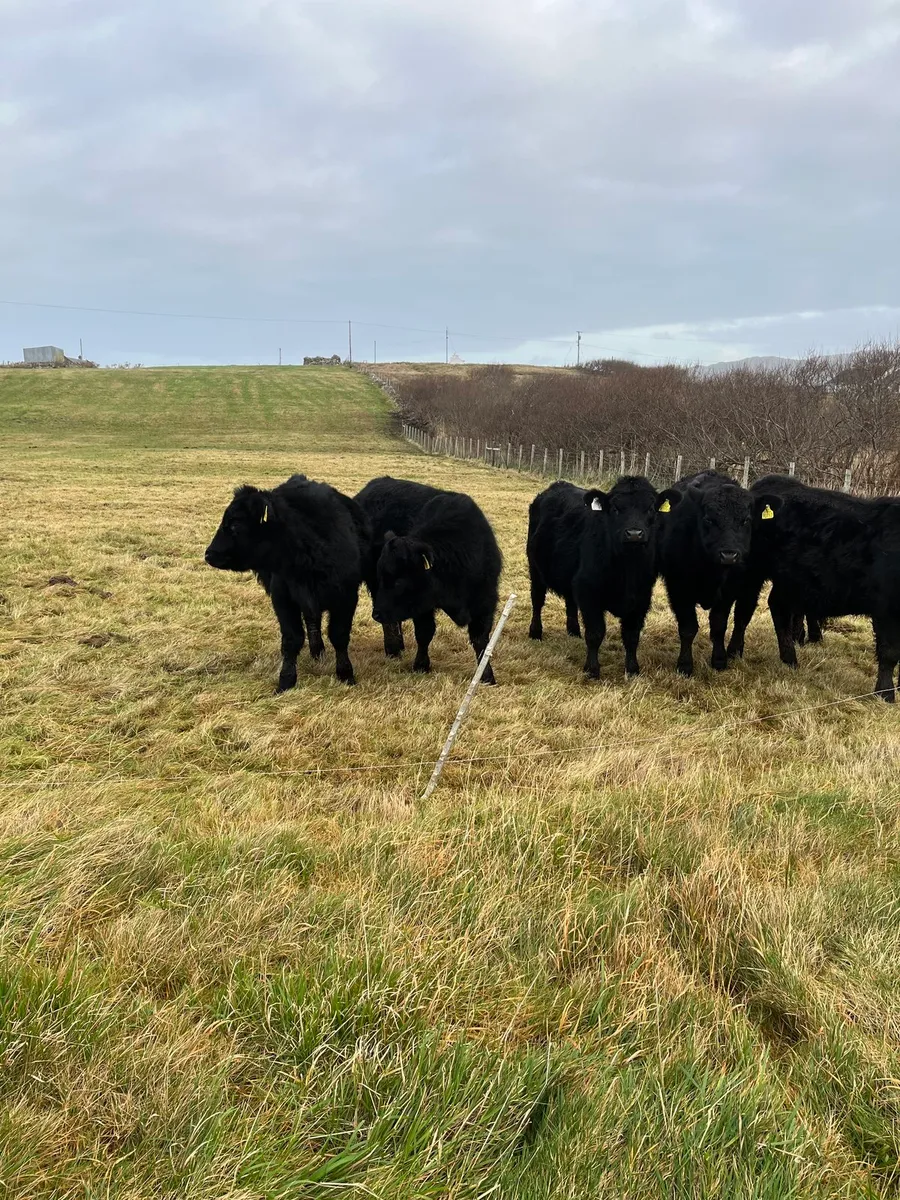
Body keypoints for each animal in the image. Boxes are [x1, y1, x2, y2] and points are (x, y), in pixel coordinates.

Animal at [204, 473, 369, 690]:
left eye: (235, 524)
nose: (209, 554)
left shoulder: (347, 597)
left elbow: (339, 635)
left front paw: (346, 674)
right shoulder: (282, 598)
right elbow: (292, 639)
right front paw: (286, 681)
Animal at [370, 489, 503, 682]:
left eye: (399, 581)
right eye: (380, 577)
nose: (376, 614)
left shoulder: (485, 602)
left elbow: (481, 640)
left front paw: (486, 675)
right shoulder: (423, 606)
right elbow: (424, 633)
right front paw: (420, 665)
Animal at [527, 477, 681, 677]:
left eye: (651, 509)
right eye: (615, 509)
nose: (634, 534)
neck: (627, 569)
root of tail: (557, 485)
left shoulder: (641, 597)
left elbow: (632, 636)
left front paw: (632, 669)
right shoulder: (589, 592)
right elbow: (595, 633)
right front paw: (592, 669)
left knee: (570, 602)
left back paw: (573, 631)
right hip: (535, 570)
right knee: (537, 601)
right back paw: (535, 633)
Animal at [658, 470, 783, 676]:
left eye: (746, 520)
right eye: (709, 519)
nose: (729, 554)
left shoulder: (729, 591)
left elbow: (718, 625)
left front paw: (719, 660)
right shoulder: (678, 588)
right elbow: (687, 628)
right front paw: (685, 665)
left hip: (750, 586)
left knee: (742, 617)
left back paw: (734, 651)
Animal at [727, 475, 900, 700]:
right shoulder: (886, 608)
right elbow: (889, 653)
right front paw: (885, 693)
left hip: (790, 579)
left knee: (778, 607)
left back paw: (789, 659)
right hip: (753, 571)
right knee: (744, 611)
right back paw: (734, 652)